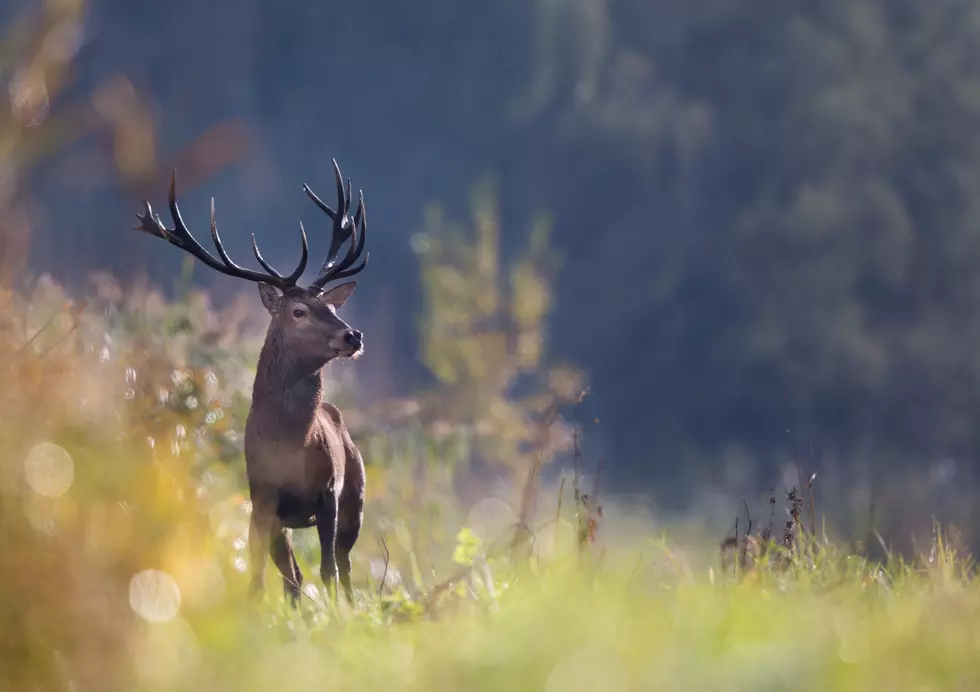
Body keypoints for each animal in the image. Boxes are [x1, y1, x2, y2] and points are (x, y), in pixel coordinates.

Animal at [132, 158, 370, 604]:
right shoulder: (261, 498)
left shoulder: (329, 491)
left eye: (331, 306)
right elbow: (259, 576)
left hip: (355, 494)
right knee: (293, 575)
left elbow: (328, 569)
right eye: (298, 311)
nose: (353, 336)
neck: (289, 447)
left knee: (343, 565)